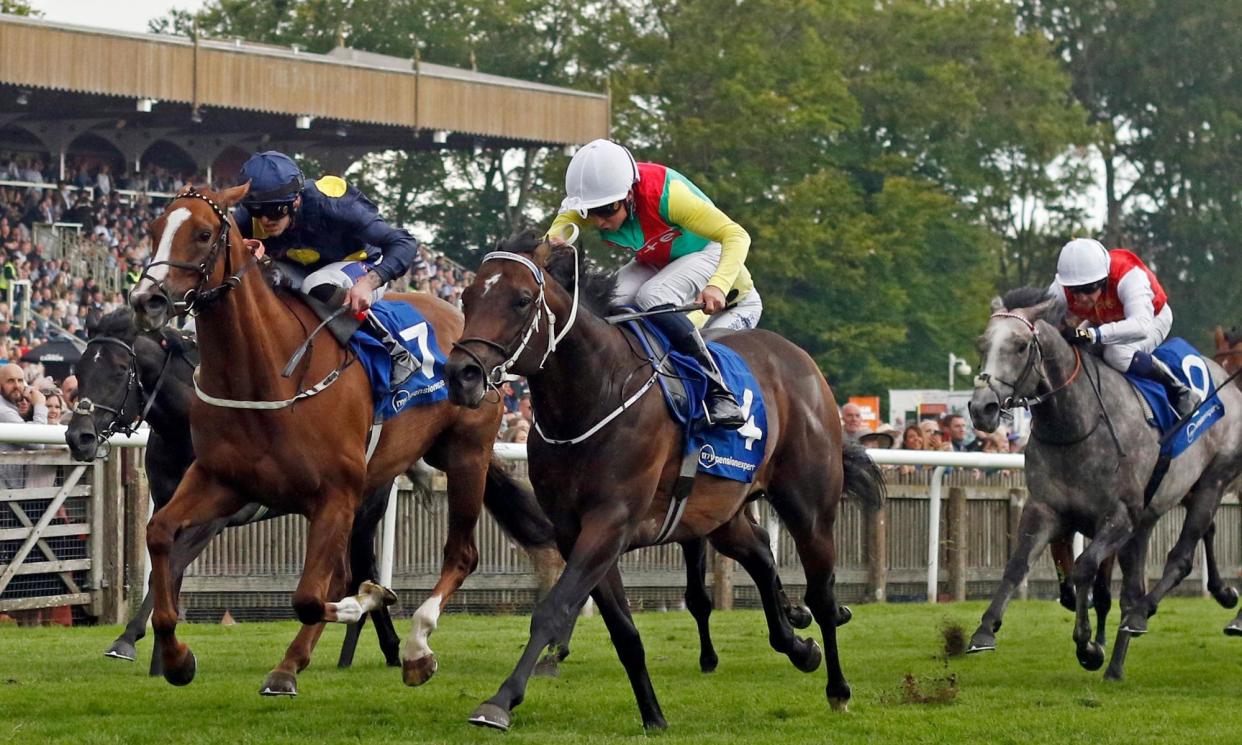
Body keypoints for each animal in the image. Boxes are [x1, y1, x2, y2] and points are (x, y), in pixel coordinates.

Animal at [65, 307, 399, 675]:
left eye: (120, 370)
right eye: (79, 370)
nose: (78, 437)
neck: (183, 426)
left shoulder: (211, 520)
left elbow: (167, 571)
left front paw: (127, 640)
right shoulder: (169, 504)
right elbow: (167, 571)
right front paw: (163, 658)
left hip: (359, 510)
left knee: (361, 569)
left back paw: (382, 646)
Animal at [126, 185, 563, 690]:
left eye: (201, 233)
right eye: (153, 229)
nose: (146, 299)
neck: (268, 374)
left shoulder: (335, 493)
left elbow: (312, 595)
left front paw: (373, 600)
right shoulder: (221, 479)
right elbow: (160, 534)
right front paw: (176, 658)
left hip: (465, 455)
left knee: (459, 555)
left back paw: (414, 649)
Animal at [447, 230, 884, 725]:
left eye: (522, 300)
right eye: (466, 297)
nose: (461, 375)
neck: (594, 393)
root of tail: (802, 362)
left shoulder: (611, 522)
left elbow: (554, 608)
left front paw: (500, 701)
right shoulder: (574, 530)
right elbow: (623, 631)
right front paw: (653, 715)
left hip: (808, 505)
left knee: (822, 595)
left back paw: (838, 687)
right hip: (720, 514)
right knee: (759, 554)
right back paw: (798, 647)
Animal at [968, 289, 1242, 680]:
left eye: (1020, 346)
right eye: (982, 343)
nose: (982, 408)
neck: (1075, 426)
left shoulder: (1119, 516)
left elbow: (1085, 569)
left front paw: (1087, 645)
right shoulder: (1045, 508)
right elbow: (1017, 566)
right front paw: (984, 630)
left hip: (1212, 481)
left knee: (1179, 558)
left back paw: (1144, 617)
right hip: (1155, 514)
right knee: (1139, 583)